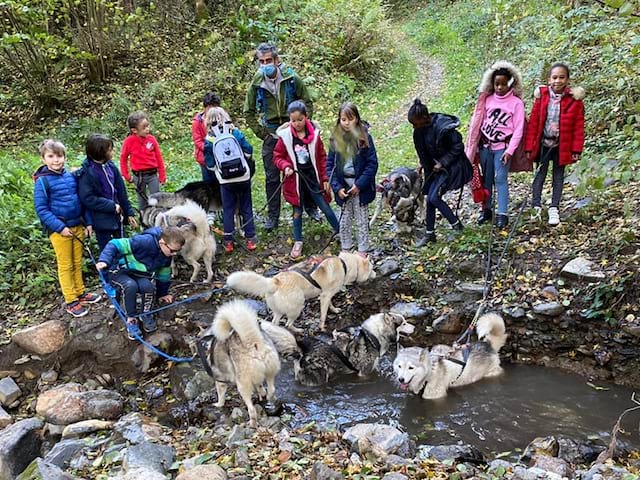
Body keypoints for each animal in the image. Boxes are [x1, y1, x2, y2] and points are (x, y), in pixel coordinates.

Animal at [200, 300, 280, 428]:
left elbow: (221, 396)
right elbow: (260, 387)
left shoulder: (220, 381)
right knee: (271, 389)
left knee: (251, 409)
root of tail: (252, 342)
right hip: (270, 372)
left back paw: (252, 423)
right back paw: (268, 399)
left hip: (242, 385)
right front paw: (261, 394)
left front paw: (218, 404)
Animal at [225, 251, 376, 330]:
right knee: (288, 324)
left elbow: (331, 304)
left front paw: (335, 310)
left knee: (275, 323)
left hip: (278, 311)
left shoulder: (326, 295)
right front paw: (322, 327)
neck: (345, 265)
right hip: (298, 307)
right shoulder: (325, 296)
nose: (376, 274)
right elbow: (323, 315)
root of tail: (275, 282)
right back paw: (298, 330)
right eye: (372, 268)